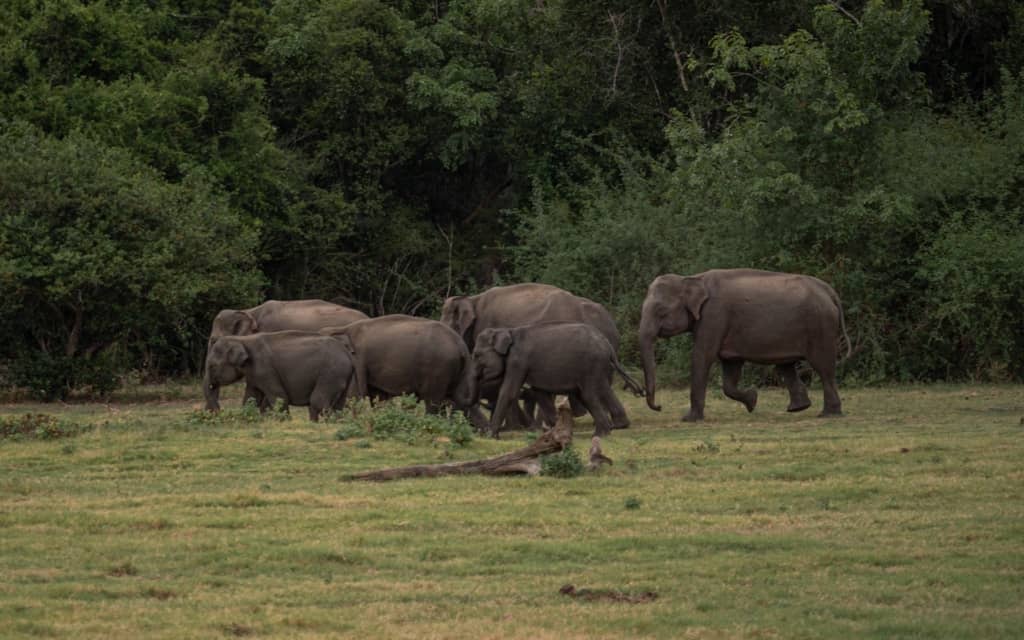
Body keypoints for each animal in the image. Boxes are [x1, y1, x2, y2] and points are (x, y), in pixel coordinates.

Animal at [203, 331, 354, 421]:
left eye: (212, 366)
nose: (219, 412)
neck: (242, 339)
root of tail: (347, 353)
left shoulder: (265, 369)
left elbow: (280, 397)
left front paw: (286, 422)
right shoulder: (253, 374)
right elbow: (251, 399)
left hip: (331, 373)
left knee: (317, 402)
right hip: (341, 376)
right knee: (337, 404)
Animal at [319, 315, 477, 413]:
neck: (340, 328)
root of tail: (461, 345)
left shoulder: (358, 359)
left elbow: (356, 394)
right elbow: (377, 396)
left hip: (439, 368)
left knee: (432, 401)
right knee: (456, 401)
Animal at [473, 322, 644, 438]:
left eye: (476, 355)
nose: (482, 432)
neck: (507, 330)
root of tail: (607, 344)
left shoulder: (518, 361)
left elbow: (509, 391)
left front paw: (490, 436)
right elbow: (540, 393)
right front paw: (557, 431)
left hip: (591, 364)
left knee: (588, 395)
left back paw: (601, 434)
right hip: (597, 366)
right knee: (600, 390)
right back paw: (617, 426)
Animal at [638, 269, 851, 422]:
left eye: (660, 310)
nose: (659, 407)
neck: (692, 278)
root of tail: (830, 291)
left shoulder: (714, 316)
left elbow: (702, 356)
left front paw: (689, 419)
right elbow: (730, 369)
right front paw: (752, 400)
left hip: (820, 326)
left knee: (823, 367)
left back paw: (828, 414)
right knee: (786, 366)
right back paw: (798, 408)